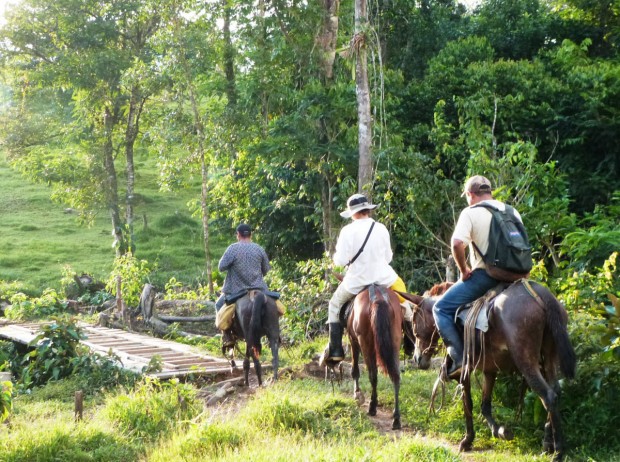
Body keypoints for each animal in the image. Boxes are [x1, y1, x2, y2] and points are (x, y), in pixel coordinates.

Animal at [346, 284, 404, 432]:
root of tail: (378, 299)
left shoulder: (353, 340)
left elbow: (355, 370)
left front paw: (357, 394)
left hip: (366, 344)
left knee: (373, 375)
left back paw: (372, 407)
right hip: (395, 342)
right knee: (396, 376)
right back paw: (396, 418)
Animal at [400, 280, 580, 460]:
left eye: (414, 323)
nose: (417, 358)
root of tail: (541, 293)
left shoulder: (464, 372)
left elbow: (468, 404)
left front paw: (468, 440)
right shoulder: (490, 370)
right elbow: (485, 405)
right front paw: (499, 431)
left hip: (527, 362)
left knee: (548, 396)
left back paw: (558, 452)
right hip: (549, 358)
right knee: (555, 392)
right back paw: (547, 445)